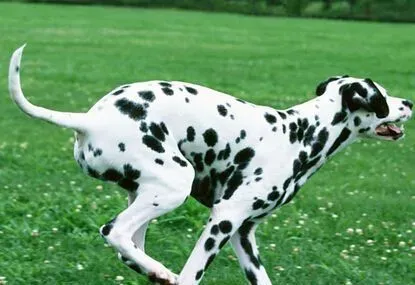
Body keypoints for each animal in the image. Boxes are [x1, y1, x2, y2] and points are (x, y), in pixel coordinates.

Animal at [8, 45, 414, 284]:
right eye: (383, 95)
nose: (409, 102)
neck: (299, 134)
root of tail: (90, 120)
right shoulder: (223, 219)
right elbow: (193, 274)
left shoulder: (243, 234)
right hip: (174, 186)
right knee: (115, 233)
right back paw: (161, 271)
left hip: (148, 196)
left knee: (131, 248)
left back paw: (156, 272)